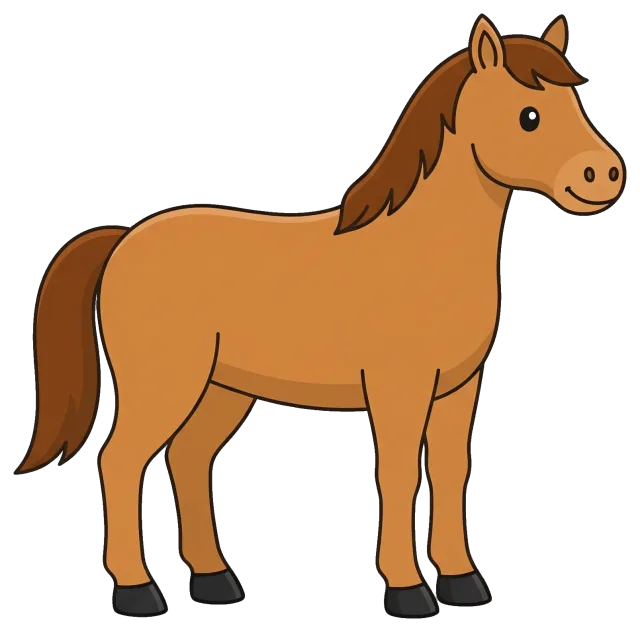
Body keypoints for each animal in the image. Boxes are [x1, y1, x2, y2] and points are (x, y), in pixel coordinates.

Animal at [20, 15, 624, 619]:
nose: (605, 174)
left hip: (221, 390)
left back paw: (215, 581)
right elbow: (399, 473)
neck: (421, 249)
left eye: (575, 102)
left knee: (188, 459)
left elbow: (451, 472)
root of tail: (123, 239)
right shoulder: (398, 388)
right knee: (121, 463)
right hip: (165, 385)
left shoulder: (457, 389)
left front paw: (462, 581)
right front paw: (407, 590)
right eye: (529, 115)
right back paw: (137, 590)